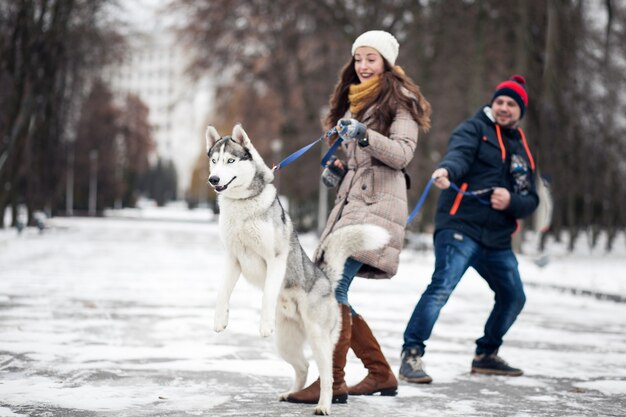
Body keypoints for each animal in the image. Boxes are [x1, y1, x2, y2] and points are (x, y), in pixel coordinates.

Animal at [207, 123, 388, 412]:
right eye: (214, 161)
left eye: (230, 161)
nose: (213, 179)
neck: (242, 206)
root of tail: (324, 277)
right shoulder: (233, 258)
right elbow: (222, 292)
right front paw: (219, 320)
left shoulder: (275, 258)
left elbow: (268, 294)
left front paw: (263, 324)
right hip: (286, 343)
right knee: (303, 365)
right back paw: (293, 393)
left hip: (318, 338)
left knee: (327, 375)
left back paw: (324, 405)